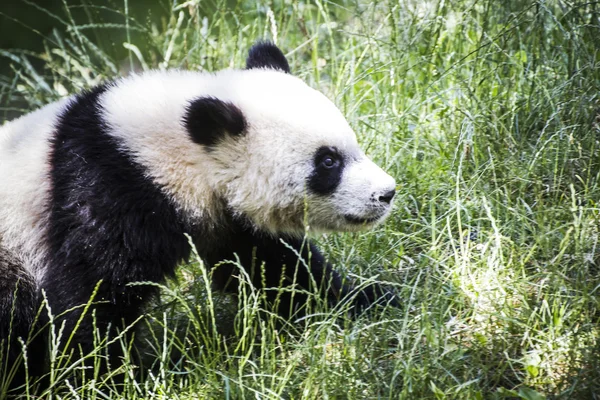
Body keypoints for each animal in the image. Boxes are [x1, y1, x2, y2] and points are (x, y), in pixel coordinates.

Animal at [0, 42, 396, 390]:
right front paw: (103, 377)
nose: (386, 193)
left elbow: (273, 268)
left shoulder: (229, 217)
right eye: (328, 161)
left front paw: (365, 301)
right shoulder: (110, 185)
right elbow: (91, 288)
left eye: (351, 145)